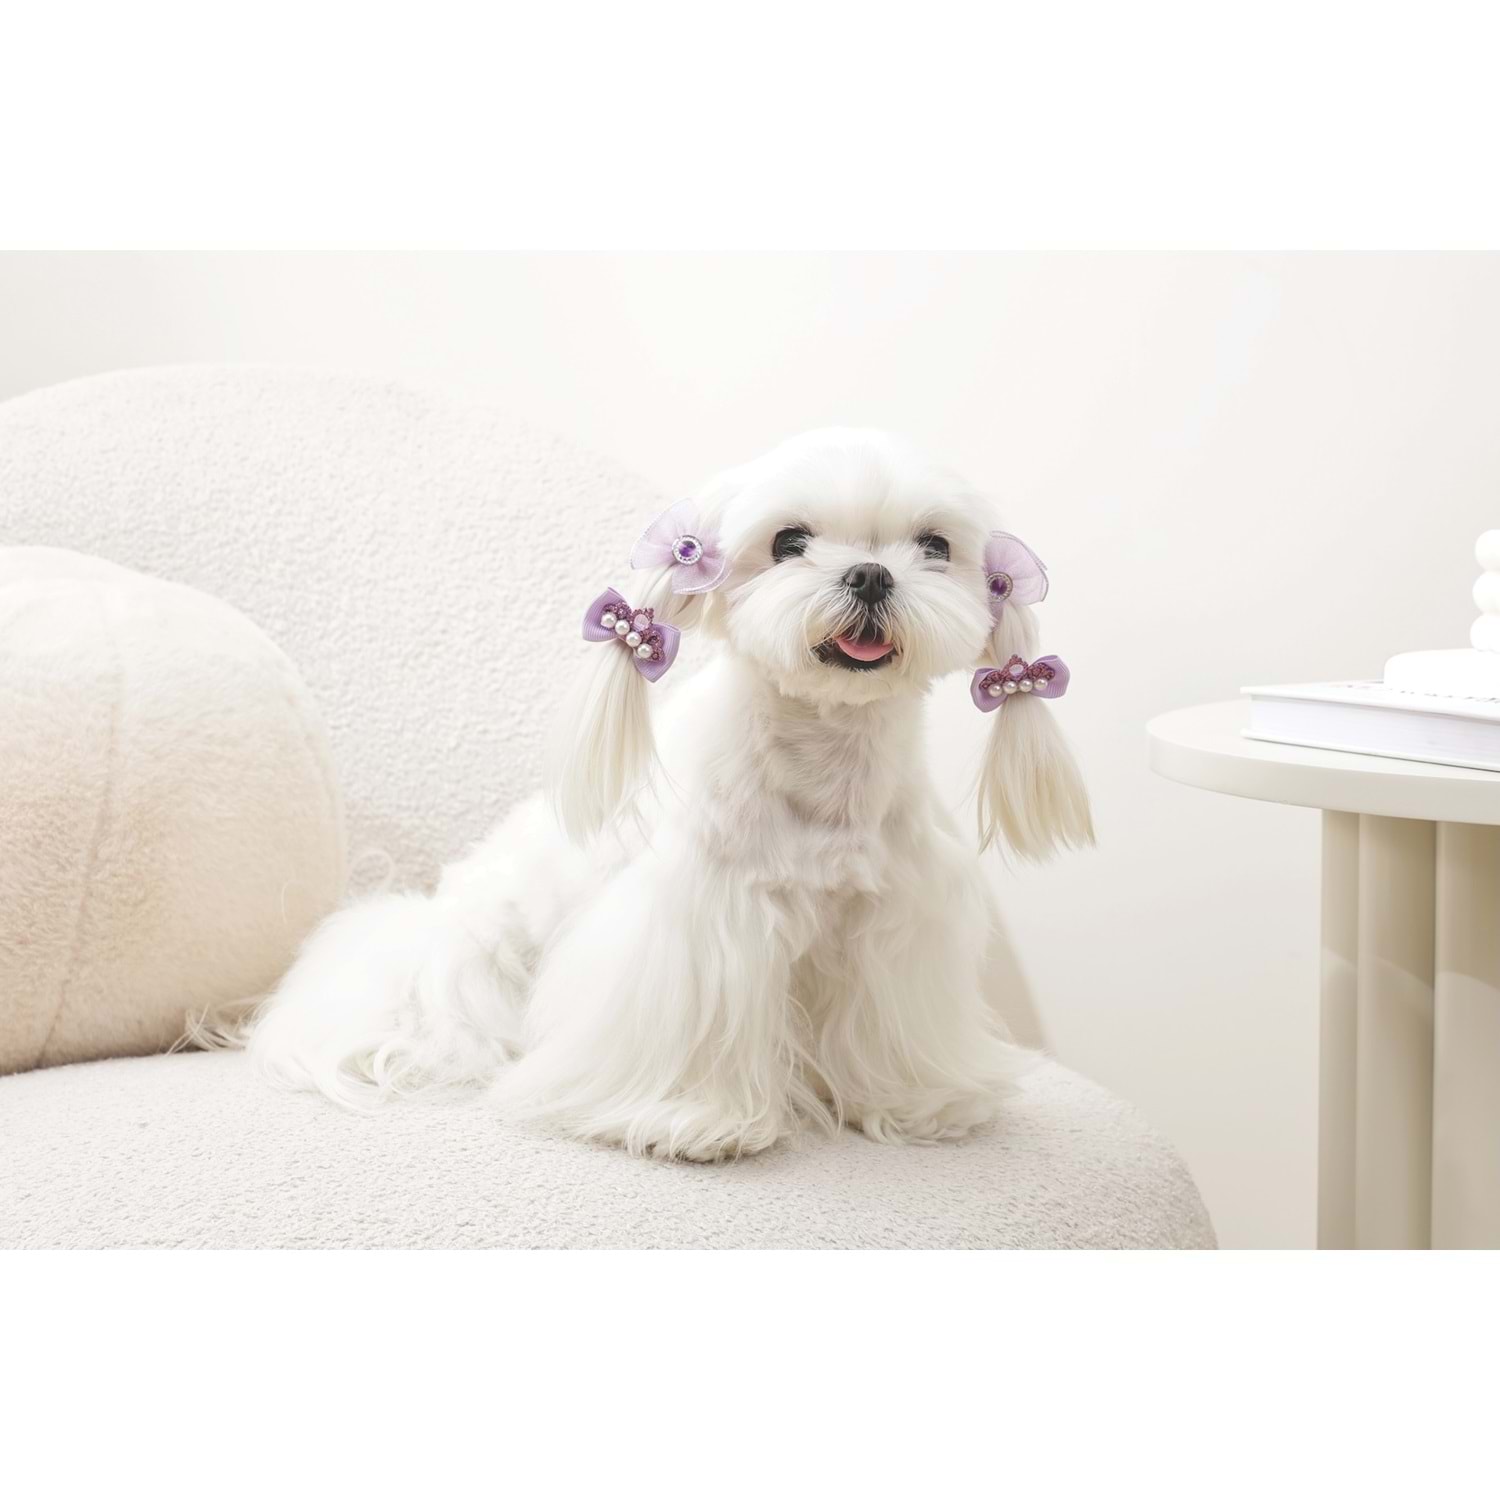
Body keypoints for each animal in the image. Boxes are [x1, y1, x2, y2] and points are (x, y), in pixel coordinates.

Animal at [240, 428, 1093, 1159]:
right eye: (789, 542)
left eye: (935, 547)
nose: (870, 573)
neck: (825, 765)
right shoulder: (701, 924)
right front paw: (693, 1120)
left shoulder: (895, 922)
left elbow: (887, 1024)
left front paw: (917, 1101)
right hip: (474, 962)